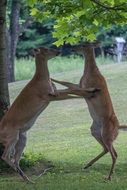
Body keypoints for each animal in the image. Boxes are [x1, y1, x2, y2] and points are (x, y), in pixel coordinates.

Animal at [0, 46, 100, 183]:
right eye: (46, 49)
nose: (58, 51)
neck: (42, 79)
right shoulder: (48, 95)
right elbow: (71, 93)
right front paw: (90, 93)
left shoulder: (53, 93)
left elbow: (72, 90)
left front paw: (92, 90)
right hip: (12, 135)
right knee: (5, 156)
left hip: (22, 137)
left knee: (15, 159)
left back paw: (27, 179)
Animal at [51, 42, 127, 180]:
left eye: (83, 44)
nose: (72, 48)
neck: (90, 72)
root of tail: (118, 126)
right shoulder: (80, 85)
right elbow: (66, 83)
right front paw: (51, 79)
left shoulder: (88, 91)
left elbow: (70, 89)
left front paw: (56, 91)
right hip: (96, 131)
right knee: (107, 149)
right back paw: (88, 164)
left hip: (107, 133)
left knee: (114, 154)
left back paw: (109, 176)